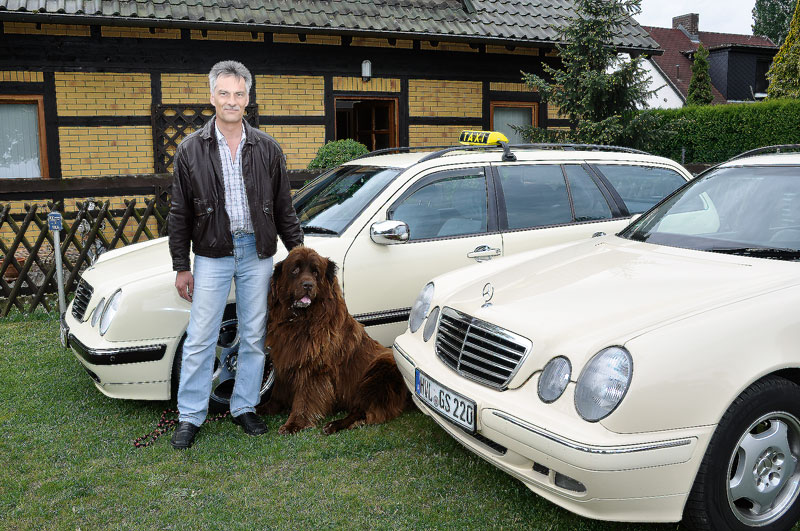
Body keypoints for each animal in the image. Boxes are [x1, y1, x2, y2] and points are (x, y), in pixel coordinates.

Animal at [258, 247, 410, 434]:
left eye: (315, 272)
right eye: (295, 270)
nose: (308, 285)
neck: (301, 321)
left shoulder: (314, 368)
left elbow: (304, 399)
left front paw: (294, 424)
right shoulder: (285, 361)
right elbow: (278, 392)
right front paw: (264, 408)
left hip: (378, 375)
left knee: (364, 411)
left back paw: (333, 425)